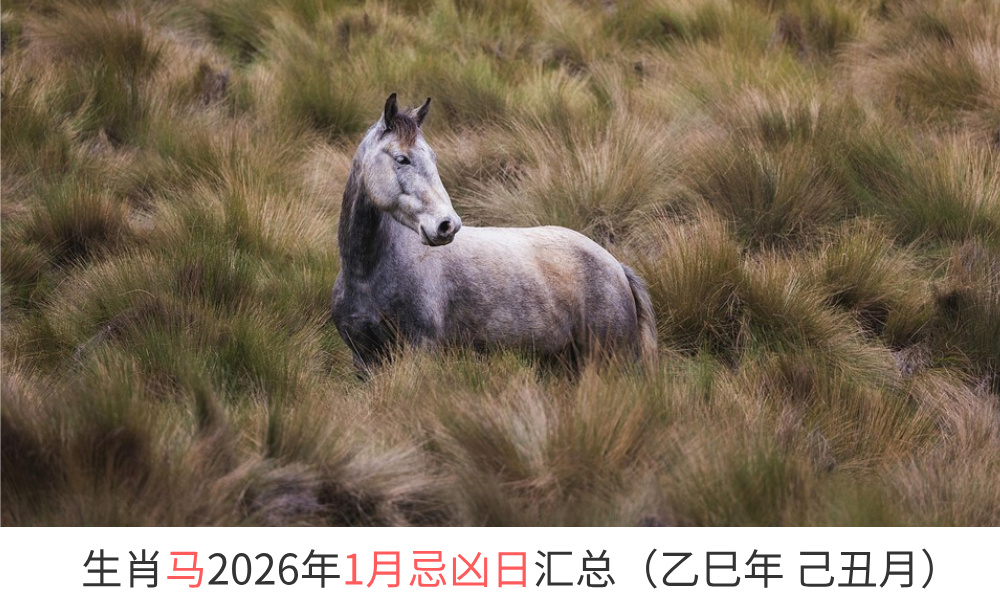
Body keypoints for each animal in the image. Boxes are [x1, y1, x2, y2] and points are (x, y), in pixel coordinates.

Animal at [331, 93, 657, 374]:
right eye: (402, 159)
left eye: (433, 158)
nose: (447, 225)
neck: (367, 274)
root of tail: (616, 266)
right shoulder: (364, 359)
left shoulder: (421, 351)